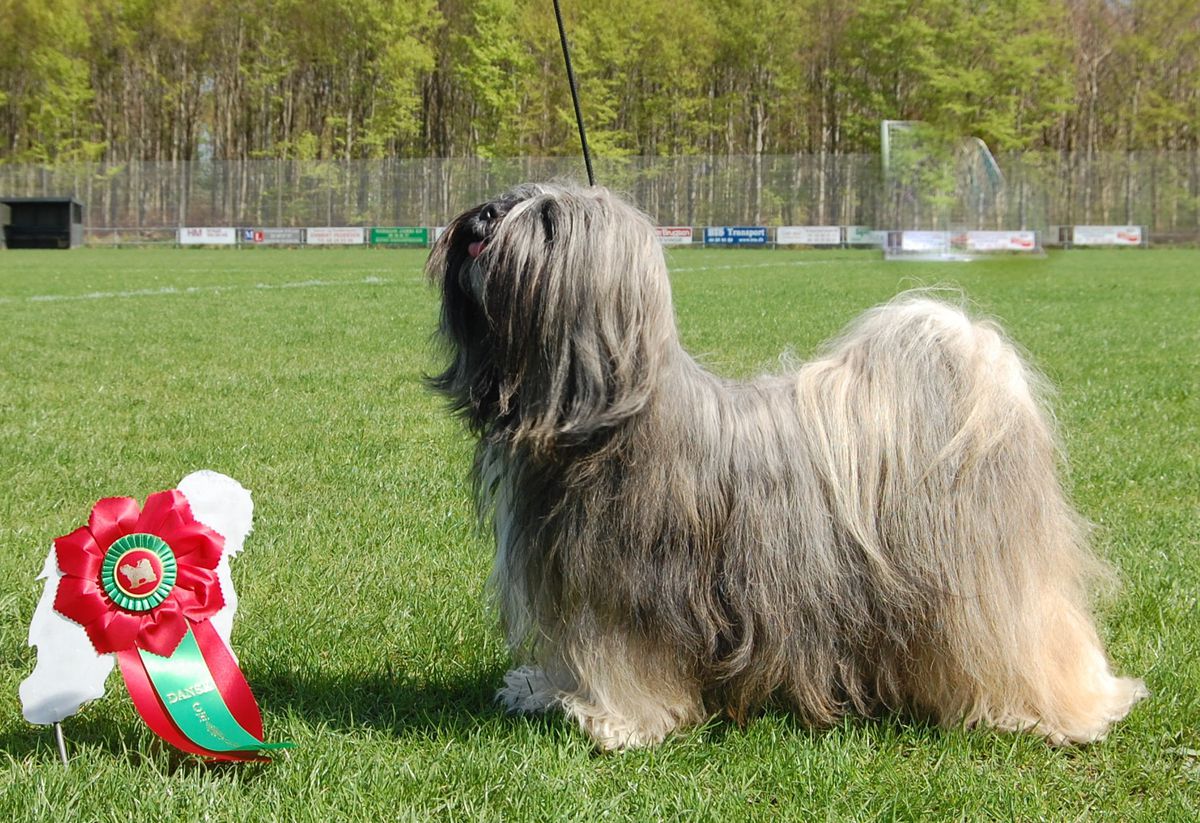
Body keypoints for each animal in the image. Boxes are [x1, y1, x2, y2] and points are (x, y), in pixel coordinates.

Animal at [427, 183, 1147, 753]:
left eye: (547, 220)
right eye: (514, 196)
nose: (482, 216)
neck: (600, 419)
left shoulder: (631, 593)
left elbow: (625, 660)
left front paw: (616, 721)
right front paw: (546, 688)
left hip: (987, 580)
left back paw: (1066, 708)